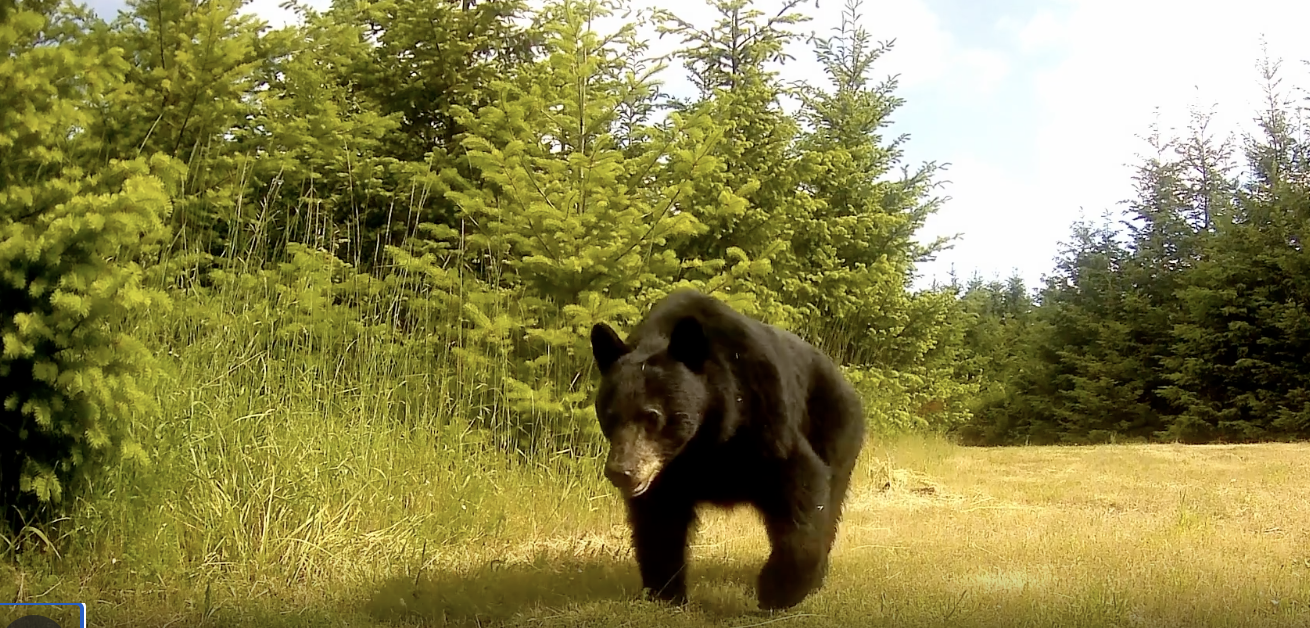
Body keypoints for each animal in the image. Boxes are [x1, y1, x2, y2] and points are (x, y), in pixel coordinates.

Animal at [589, 288, 866, 611]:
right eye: (609, 415)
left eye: (652, 415)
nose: (621, 471)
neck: (705, 439)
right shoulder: (667, 470)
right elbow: (658, 518)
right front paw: (666, 592)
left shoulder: (764, 417)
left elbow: (800, 485)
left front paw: (777, 590)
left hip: (836, 426)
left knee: (832, 499)